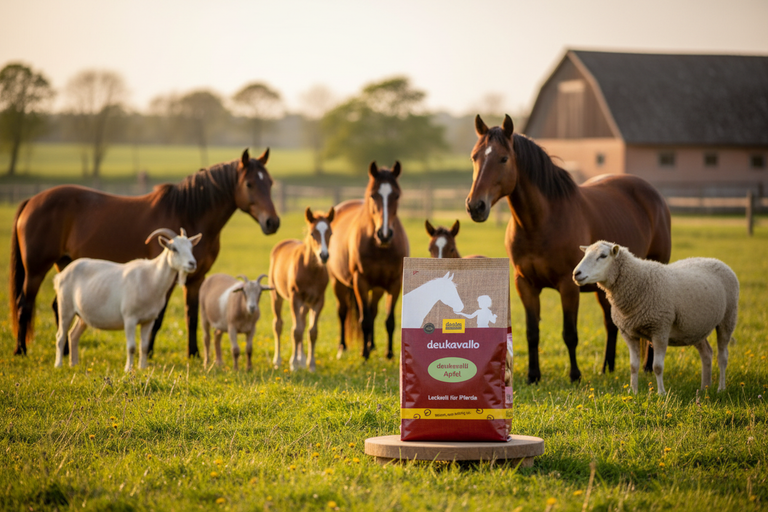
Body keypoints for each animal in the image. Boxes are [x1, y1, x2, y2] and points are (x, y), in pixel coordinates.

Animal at [53, 228, 201, 372]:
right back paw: (59, 365)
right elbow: (131, 347)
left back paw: (74, 364)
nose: (192, 264)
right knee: (61, 336)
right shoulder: (130, 318)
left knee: (73, 335)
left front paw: (142, 368)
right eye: (174, 248)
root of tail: (60, 276)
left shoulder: (149, 320)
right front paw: (128, 369)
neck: (151, 277)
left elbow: (144, 346)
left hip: (83, 315)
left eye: (191, 247)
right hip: (65, 307)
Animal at [269, 206, 335, 372]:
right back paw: (278, 360)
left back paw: (302, 359)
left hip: (306, 304)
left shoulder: (318, 300)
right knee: (278, 324)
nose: (324, 255)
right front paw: (293, 364)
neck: (310, 270)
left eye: (330, 233)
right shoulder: (295, 298)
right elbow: (296, 331)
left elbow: (312, 331)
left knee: (303, 324)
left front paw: (311, 365)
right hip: (277, 295)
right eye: (312, 233)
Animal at [327, 161, 410, 360]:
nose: (384, 234)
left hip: (377, 288)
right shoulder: (360, 282)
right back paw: (343, 347)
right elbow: (363, 320)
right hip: (337, 283)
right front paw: (364, 355)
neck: (380, 248)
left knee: (373, 311)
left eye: (396, 195)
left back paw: (372, 345)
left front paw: (389, 354)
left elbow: (389, 320)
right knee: (342, 312)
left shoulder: (395, 284)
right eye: (373, 195)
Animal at [466, 115, 671, 384]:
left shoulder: (568, 285)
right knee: (610, 324)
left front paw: (575, 375)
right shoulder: (525, 284)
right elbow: (532, 332)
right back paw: (607, 368)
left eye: (503, 158)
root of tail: (655, 196)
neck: (540, 223)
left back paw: (646, 367)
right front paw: (533, 376)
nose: (475, 206)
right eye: (474, 157)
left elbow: (570, 333)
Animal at [573, 241, 739, 395]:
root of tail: (715, 260)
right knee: (706, 354)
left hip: (728, 318)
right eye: (585, 254)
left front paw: (661, 393)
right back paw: (705, 388)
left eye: (603, 256)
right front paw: (633, 392)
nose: (576, 273)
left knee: (722, 356)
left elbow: (657, 367)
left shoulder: (660, 329)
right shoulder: (628, 333)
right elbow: (633, 366)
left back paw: (721, 388)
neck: (637, 283)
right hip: (695, 328)